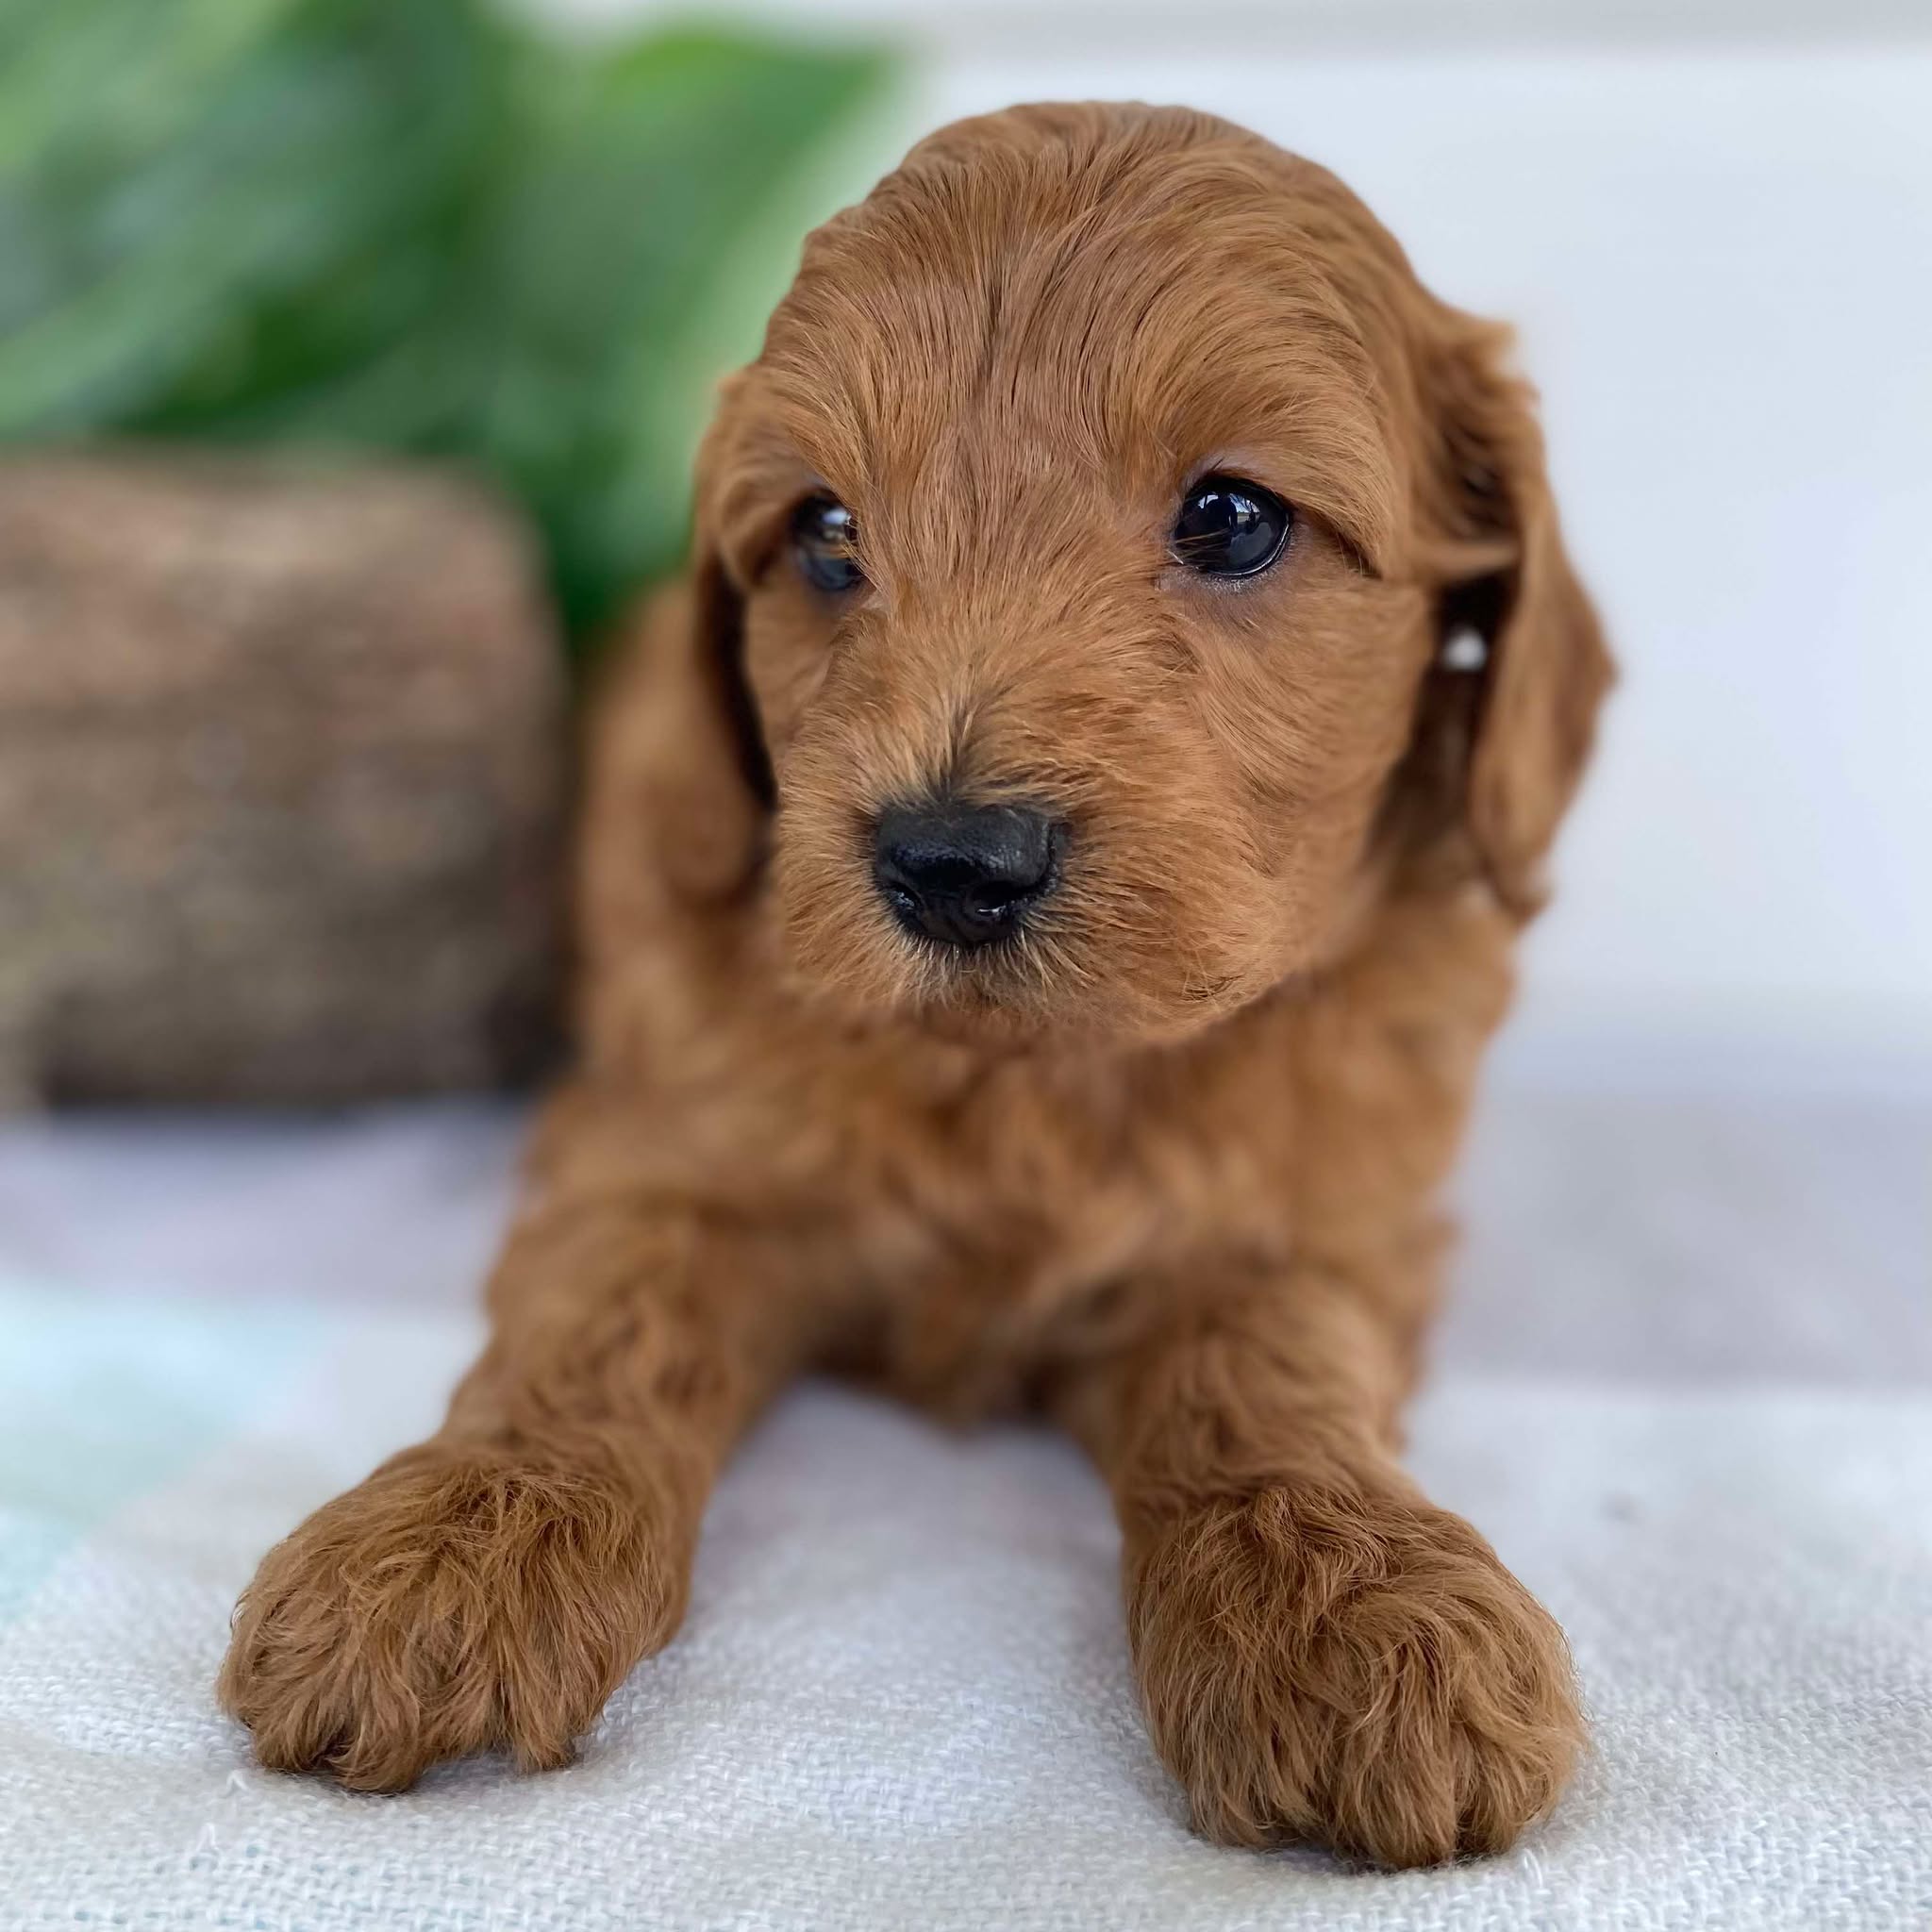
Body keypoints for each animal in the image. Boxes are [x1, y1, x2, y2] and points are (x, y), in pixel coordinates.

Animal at [219, 106, 1615, 1870]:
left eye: (1233, 518)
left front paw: (1354, 1605)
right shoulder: (659, 1141)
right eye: (826, 534)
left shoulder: (1323, 1218)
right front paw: (449, 1540)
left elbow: (1265, 1367)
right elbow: (599, 1316)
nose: (951, 861)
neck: (1029, 1074)